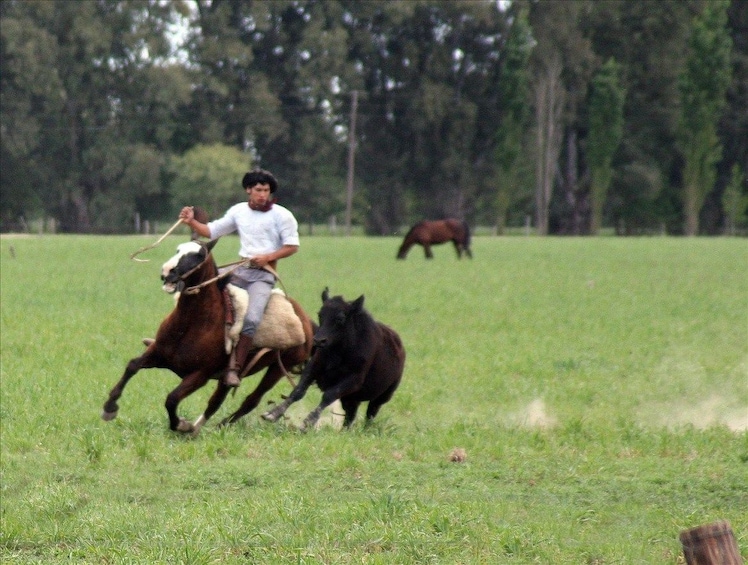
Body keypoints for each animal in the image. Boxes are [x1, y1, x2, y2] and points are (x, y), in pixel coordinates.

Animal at [101, 238, 314, 436]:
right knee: (217, 401)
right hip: (232, 376)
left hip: (279, 368)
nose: (167, 271)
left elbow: (172, 398)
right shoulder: (157, 353)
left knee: (250, 400)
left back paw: (216, 426)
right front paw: (109, 408)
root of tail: (306, 320)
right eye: (178, 250)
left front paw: (181, 425)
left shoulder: (200, 374)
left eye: (198, 255)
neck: (191, 324)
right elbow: (132, 366)